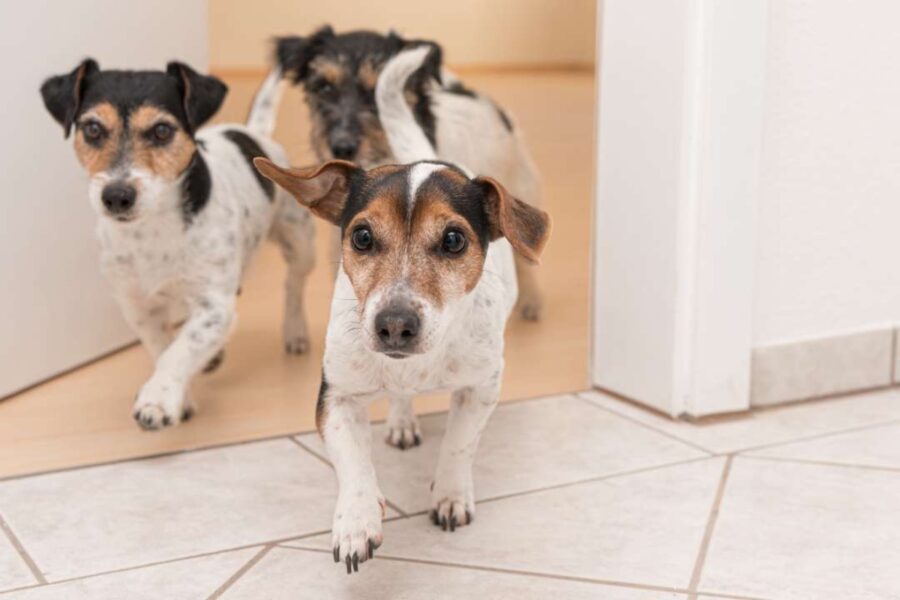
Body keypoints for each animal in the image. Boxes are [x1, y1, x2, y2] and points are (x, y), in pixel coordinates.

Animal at [42, 59, 316, 426]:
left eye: (161, 130)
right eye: (93, 129)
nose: (116, 196)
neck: (152, 231)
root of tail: (253, 131)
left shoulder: (214, 305)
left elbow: (181, 349)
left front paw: (158, 399)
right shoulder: (139, 307)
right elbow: (164, 348)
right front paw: (180, 395)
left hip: (299, 243)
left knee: (294, 284)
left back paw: (295, 329)